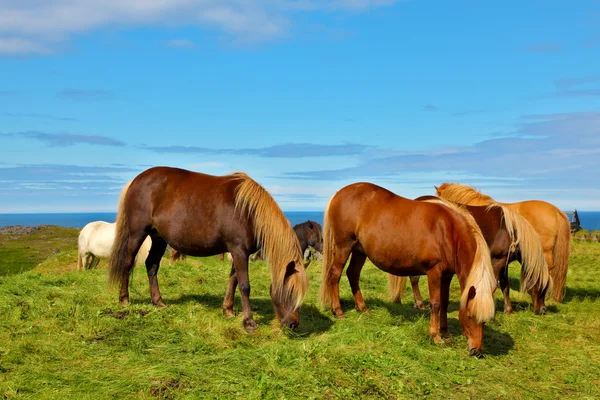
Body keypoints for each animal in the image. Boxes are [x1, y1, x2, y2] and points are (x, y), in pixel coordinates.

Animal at [106, 166, 310, 332]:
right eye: (290, 292)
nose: (293, 325)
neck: (248, 212)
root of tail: (136, 180)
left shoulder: (238, 252)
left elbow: (233, 280)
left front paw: (228, 311)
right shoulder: (239, 250)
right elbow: (244, 285)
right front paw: (249, 322)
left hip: (159, 238)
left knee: (152, 265)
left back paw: (158, 302)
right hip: (137, 233)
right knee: (128, 263)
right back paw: (124, 300)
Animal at [318, 183, 496, 354]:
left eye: (485, 320)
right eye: (470, 316)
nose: (475, 351)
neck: (449, 230)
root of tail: (338, 194)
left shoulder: (447, 275)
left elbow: (444, 303)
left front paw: (445, 332)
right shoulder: (434, 272)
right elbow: (436, 303)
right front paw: (435, 335)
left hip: (359, 250)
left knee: (353, 274)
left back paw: (363, 309)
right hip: (344, 246)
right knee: (335, 274)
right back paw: (338, 311)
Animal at [390, 197, 552, 316]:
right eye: (543, 288)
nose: (543, 310)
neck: (510, 230)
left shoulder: (504, 262)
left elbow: (505, 285)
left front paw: (509, 310)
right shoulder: (497, 261)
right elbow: (493, 285)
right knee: (414, 279)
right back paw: (420, 304)